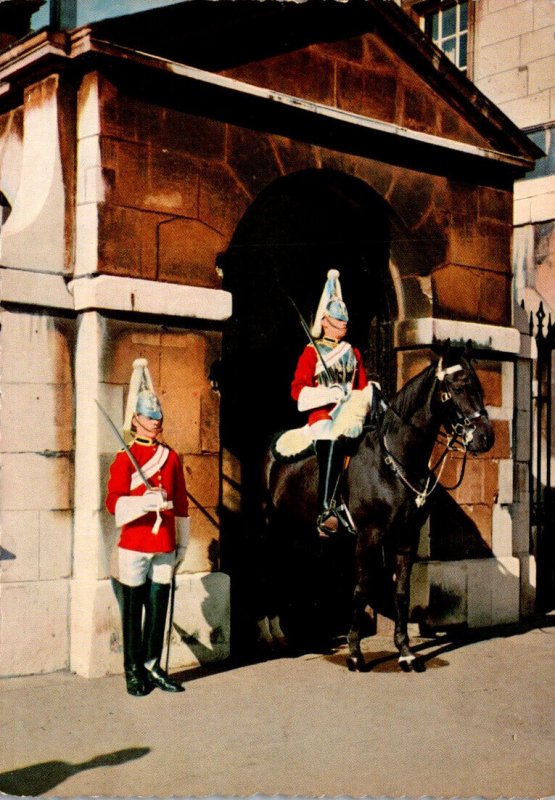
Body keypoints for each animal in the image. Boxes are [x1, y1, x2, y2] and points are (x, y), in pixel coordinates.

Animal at [260, 346, 496, 672]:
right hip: (275, 528)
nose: (486, 438)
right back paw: (274, 635)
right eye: (459, 387)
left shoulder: (406, 538)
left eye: (480, 387)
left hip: (304, 534)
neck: (397, 460)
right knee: (270, 570)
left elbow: (401, 593)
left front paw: (406, 652)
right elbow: (361, 590)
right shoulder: (368, 537)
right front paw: (354, 653)